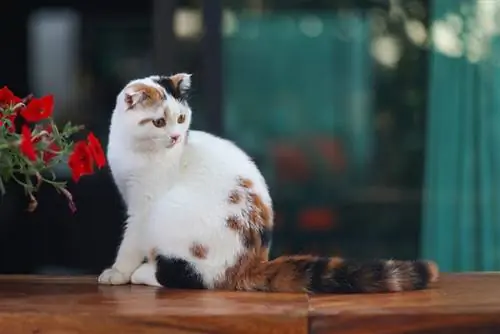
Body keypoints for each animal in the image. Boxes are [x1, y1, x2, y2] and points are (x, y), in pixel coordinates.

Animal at [96, 72, 438, 292]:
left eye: (180, 119)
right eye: (158, 122)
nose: (177, 137)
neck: (137, 151)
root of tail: (254, 262)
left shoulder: (144, 207)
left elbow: (130, 242)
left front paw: (118, 272)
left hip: (171, 216)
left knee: (196, 278)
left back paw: (144, 273)